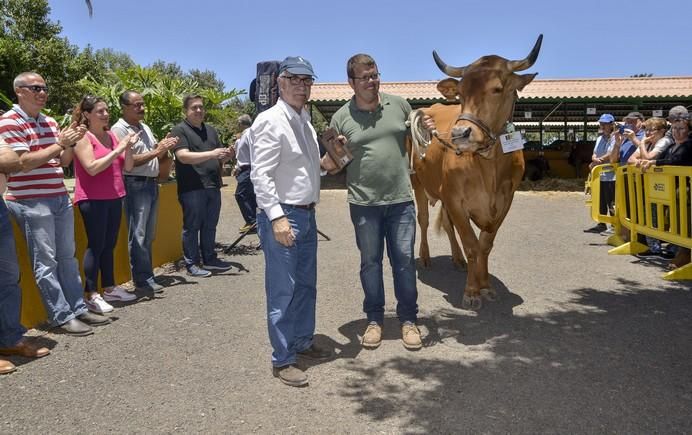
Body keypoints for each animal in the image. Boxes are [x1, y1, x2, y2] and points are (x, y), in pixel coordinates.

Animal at [410, 35, 540, 312]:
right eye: (460, 93)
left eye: (498, 89)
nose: (460, 134)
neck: (488, 167)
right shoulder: (456, 200)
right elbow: (472, 245)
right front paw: (471, 292)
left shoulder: (504, 202)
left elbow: (484, 246)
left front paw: (485, 285)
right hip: (418, 183)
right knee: (423, 220)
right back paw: (425, 256)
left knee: (448, 226)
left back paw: (457, 259)